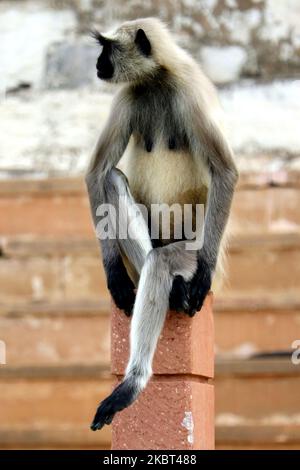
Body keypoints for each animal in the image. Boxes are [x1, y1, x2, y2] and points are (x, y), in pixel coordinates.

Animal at [85, 18, 238, 430]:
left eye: (107, 47)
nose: (98, 64)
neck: (157, 79)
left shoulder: (191, 95)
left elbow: (225, 172)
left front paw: (200, 277)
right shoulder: (127, 96)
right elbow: (97, 173)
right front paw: (114, 276)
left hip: (195, 245)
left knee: (164, 261)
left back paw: (134, 381)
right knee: (113, 183)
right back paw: (170, 290)